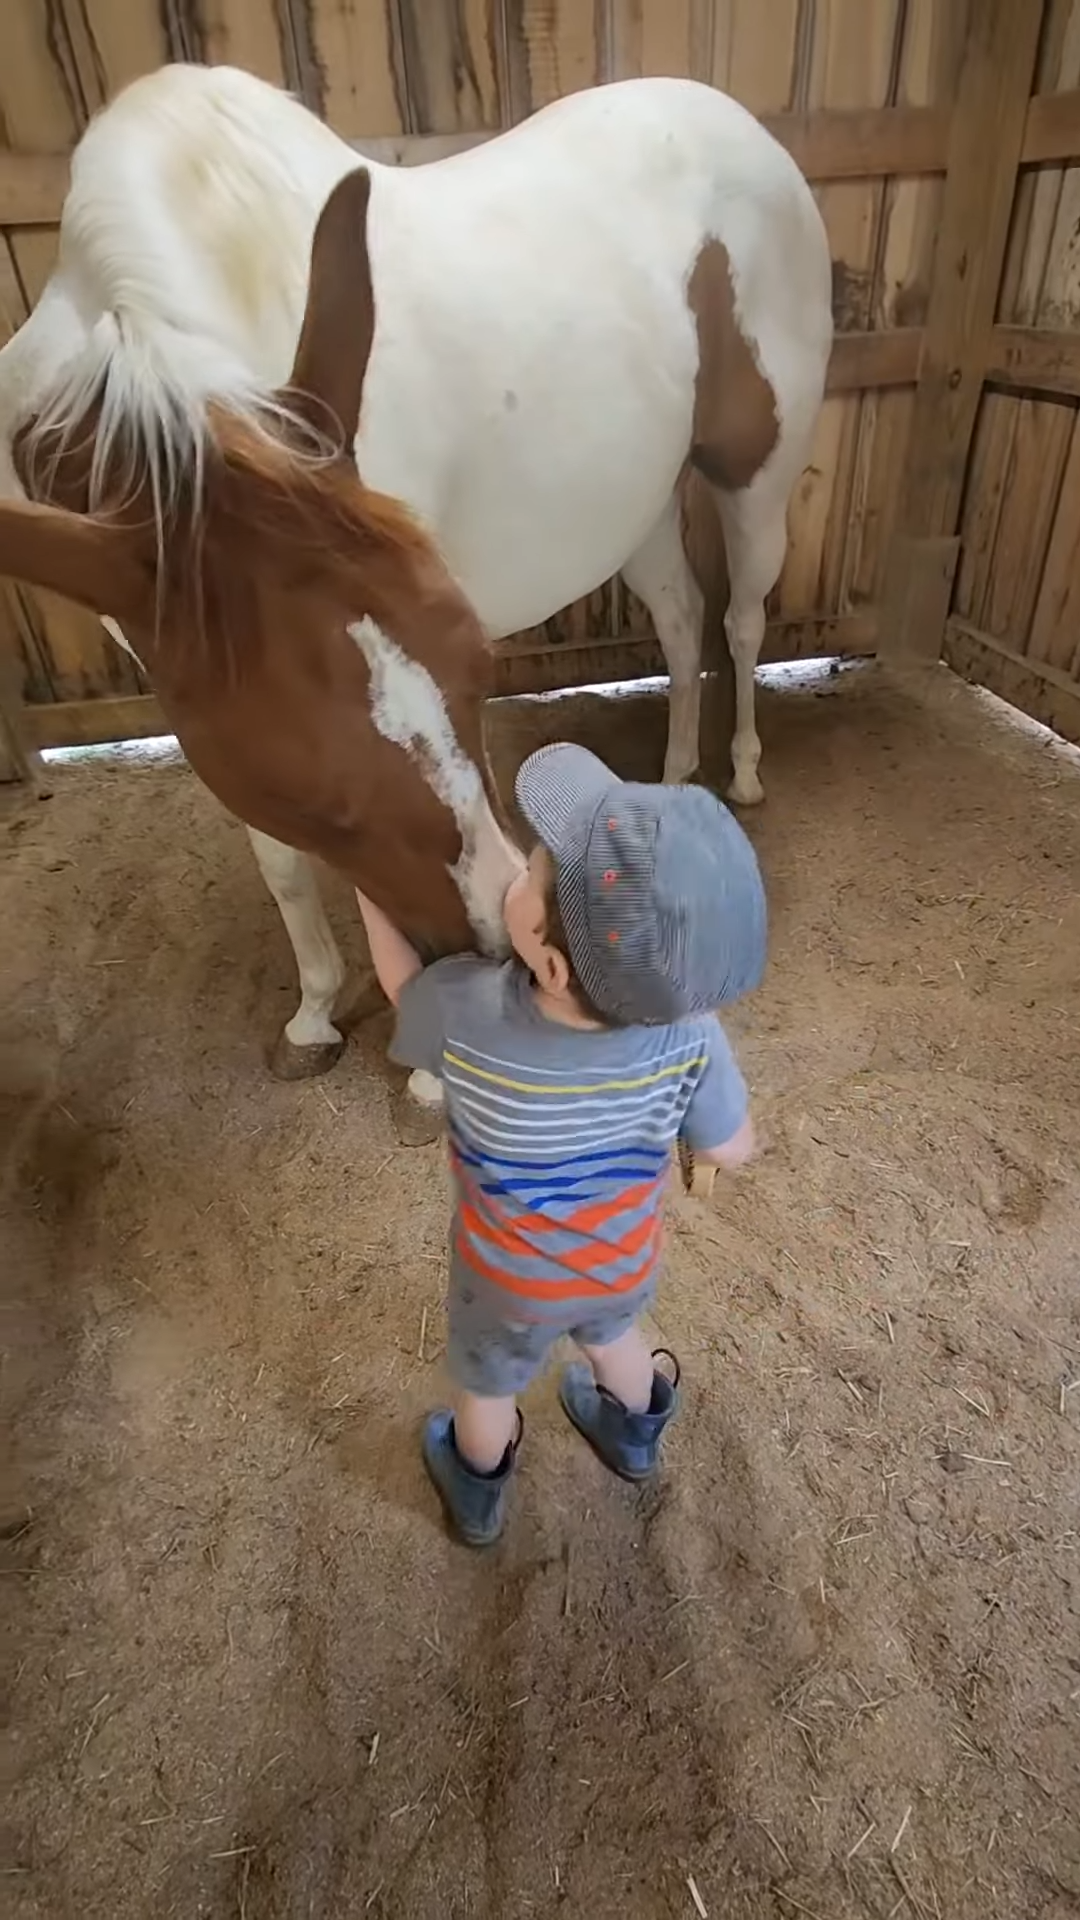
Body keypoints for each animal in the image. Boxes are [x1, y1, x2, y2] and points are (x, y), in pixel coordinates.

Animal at [0, 60, 834, 1082]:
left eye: (482, 674)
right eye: (318, 799)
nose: (511, 943)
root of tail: (738, 123)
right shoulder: (189, 684)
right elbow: (281, 862)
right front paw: (315, 1012)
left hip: (755, 479)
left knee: (742, 622)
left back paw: (743, 774)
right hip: (635, 505)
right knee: (680, 623)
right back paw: (669, 783)